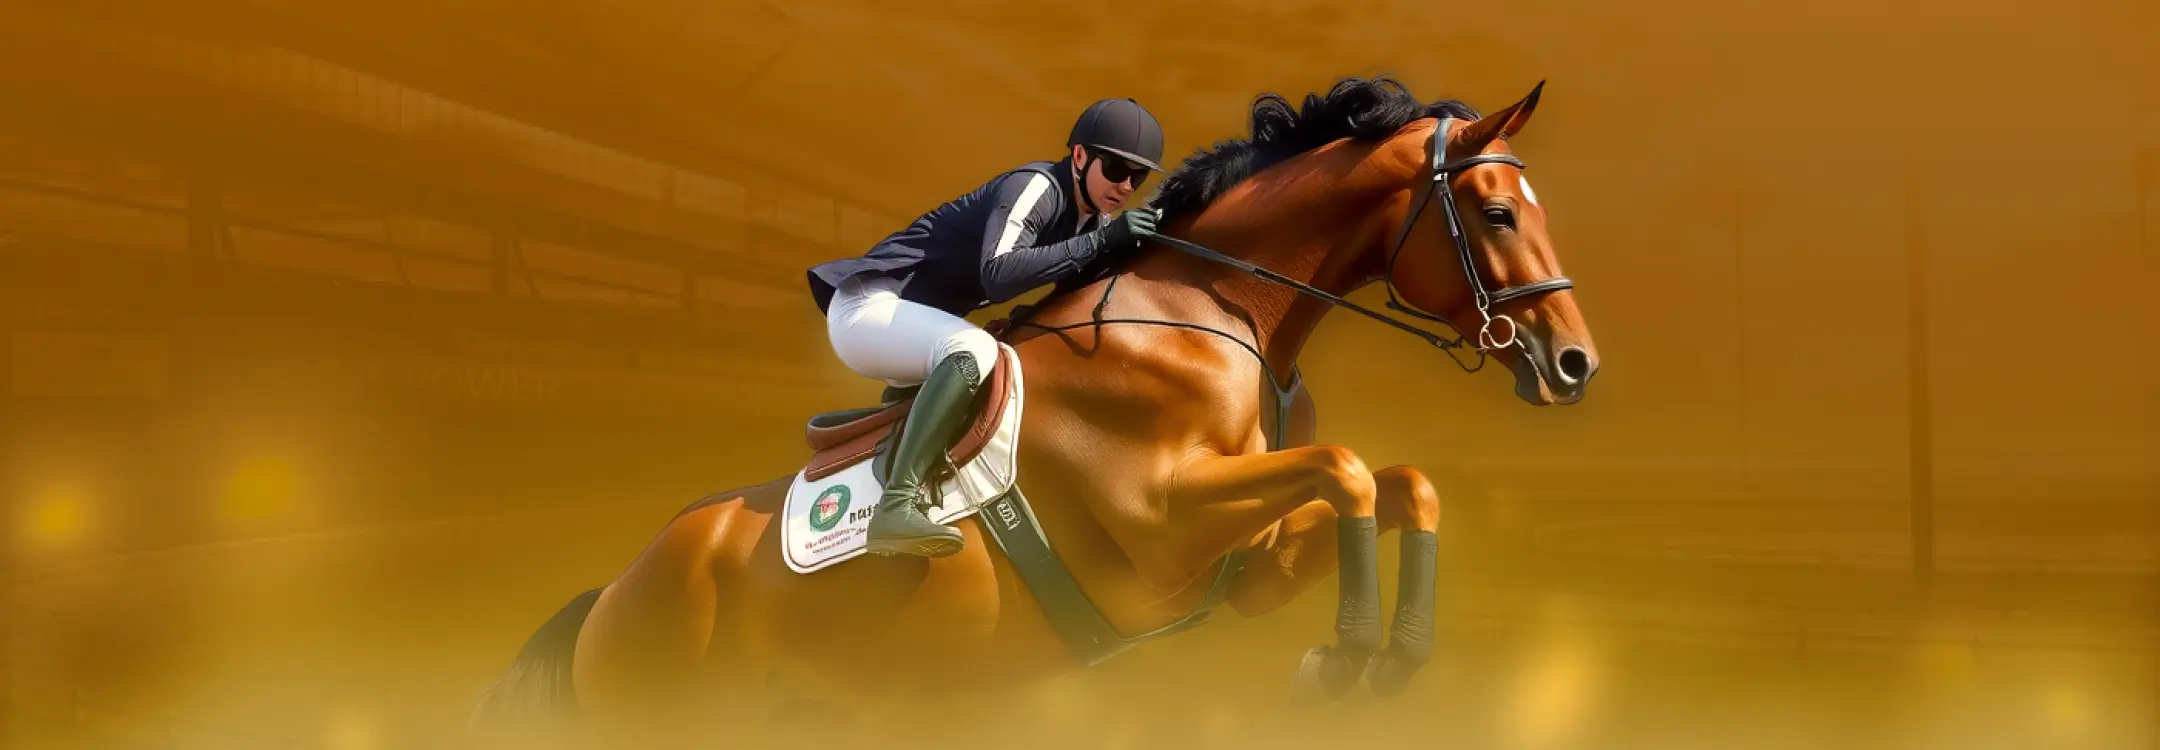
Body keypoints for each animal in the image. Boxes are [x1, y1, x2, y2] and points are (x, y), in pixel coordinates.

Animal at [468, 74, 1599, 747]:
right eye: (1498, 214)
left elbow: (1402, 484)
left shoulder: (1249, 563)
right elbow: (1353, 469)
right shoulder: (1163, 524)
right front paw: (1348, 659)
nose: (1574, 362)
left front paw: (1381, 657)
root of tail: (608, 599)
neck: (1213, 308)